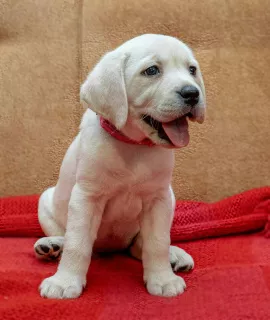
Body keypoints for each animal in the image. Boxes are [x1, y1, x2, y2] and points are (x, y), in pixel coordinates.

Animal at [34, 33, 207, 298]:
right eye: (152, 70)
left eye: (192, 70)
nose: (192, 93)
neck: (134, 145)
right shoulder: (87, 197)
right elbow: (77, 243)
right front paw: (65, 282)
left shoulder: (158, 199)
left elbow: (157, 242)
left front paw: (163, 278)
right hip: (45, 201)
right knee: (66, 235)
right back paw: (52, 245)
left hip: (170, 197)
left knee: (140, 246)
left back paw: (173, 255)